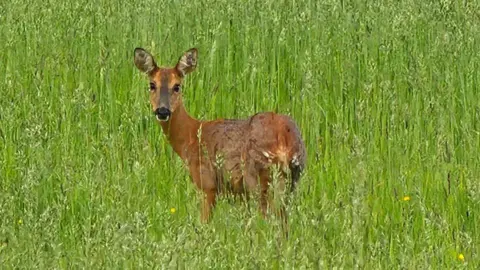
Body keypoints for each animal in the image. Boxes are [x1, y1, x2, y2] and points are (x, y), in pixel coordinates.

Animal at [134, 47, 308, 226]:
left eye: (177, 86)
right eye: (152, 85)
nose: (162, 111)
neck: (192, 136)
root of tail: (285, 137)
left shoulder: (207, 184)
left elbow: (204, 223)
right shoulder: (239, 194)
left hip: (260, 177)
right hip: (292, 178)